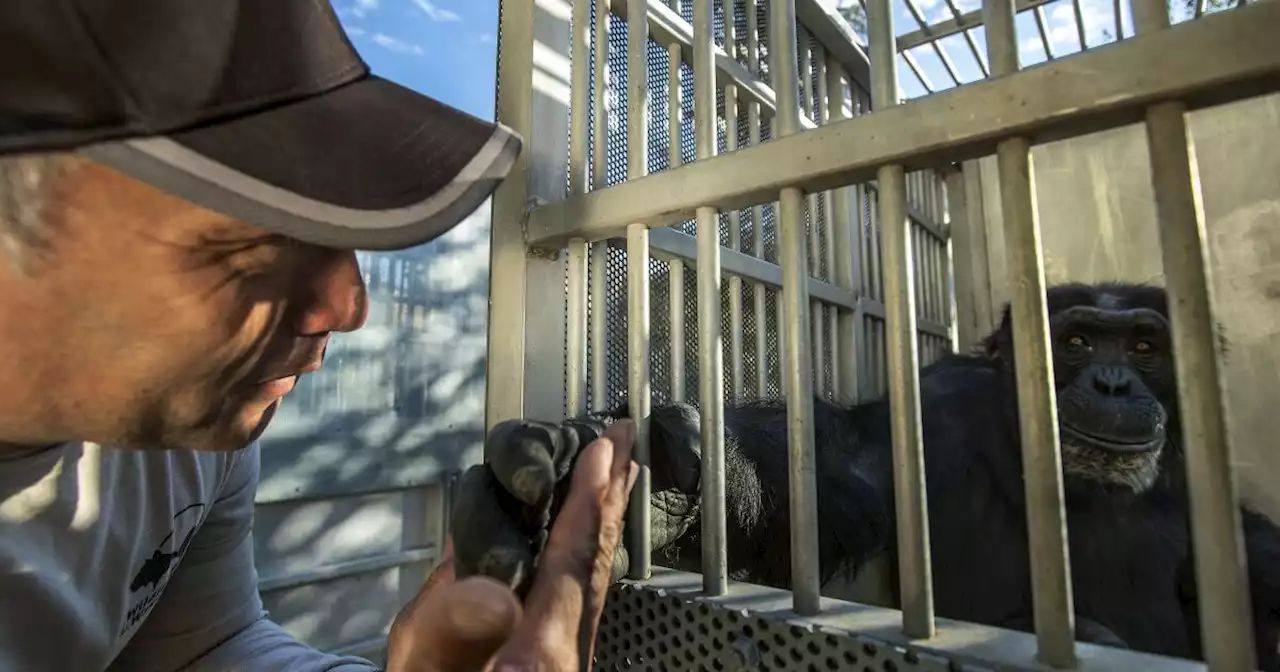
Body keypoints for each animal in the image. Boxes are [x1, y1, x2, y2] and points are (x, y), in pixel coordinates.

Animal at [453, 281, 1280, 665]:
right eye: (1074, 341)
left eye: (1143, 346)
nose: (1111, 382)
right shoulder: (938, 412)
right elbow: (839, 470)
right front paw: (660, 492)